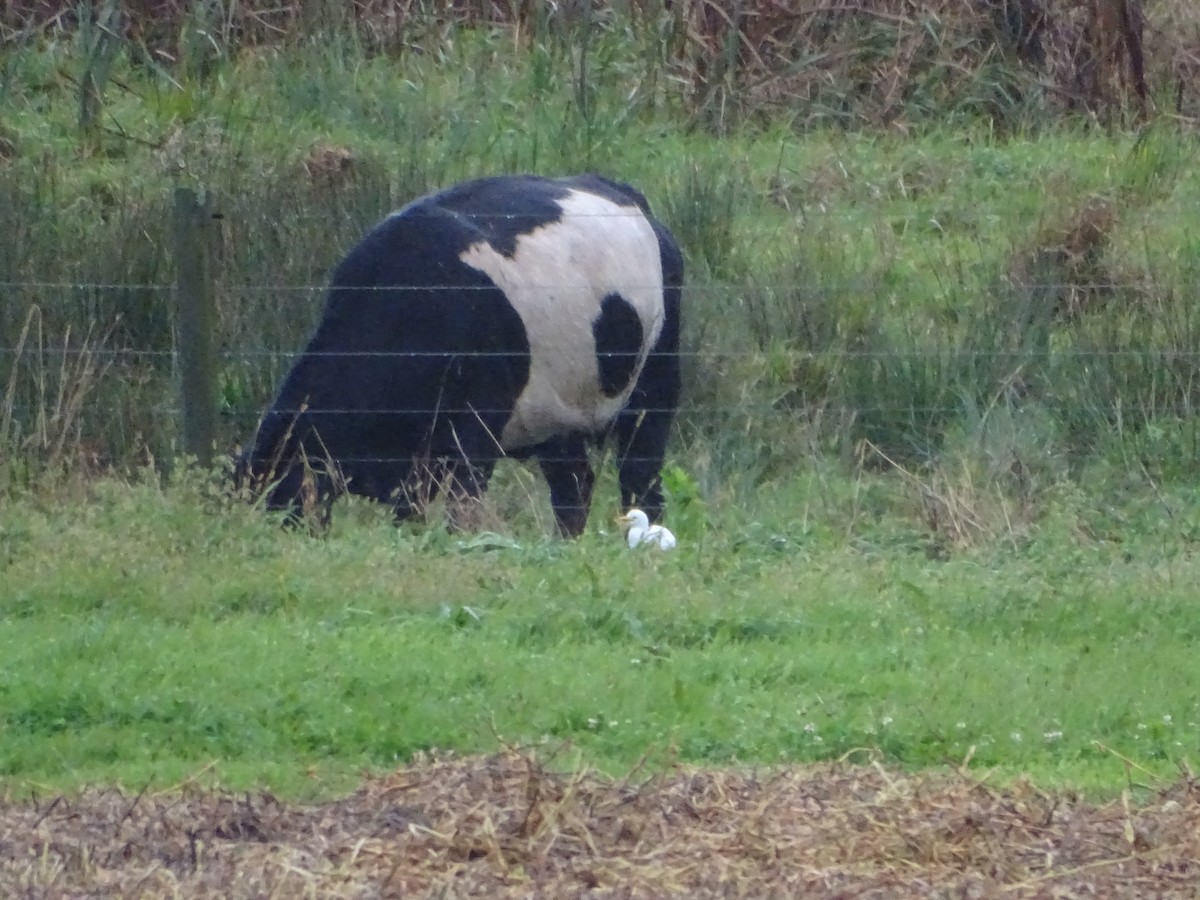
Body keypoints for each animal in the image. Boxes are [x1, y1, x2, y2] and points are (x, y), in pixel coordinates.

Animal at [238, 174, 686, 540]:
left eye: (282, 495)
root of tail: (621, 191)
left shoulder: (476, 428)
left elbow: (461, 509)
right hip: (561, 414)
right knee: (574, 485)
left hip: (655, 386)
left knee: (640, 477)